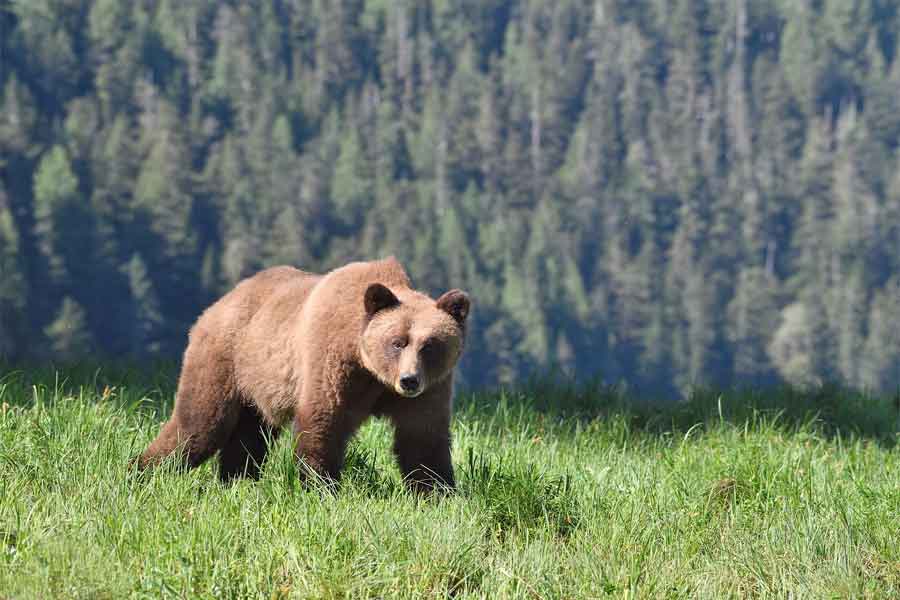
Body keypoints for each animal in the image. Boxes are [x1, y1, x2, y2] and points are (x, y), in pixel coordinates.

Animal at [139, 255, 472, 490]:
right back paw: (142, 472)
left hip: (257, 387)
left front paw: (437, 492)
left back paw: (236, 481)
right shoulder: (332, 361)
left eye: (429, 346)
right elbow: (323, 421)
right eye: (397, 342)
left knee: (248, 436)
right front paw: (320, 486)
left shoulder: (431, 388)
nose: (409, 381)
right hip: (225, 360)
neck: (373, 373)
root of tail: (218, 304)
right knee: (200, 425)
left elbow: (422, 439)